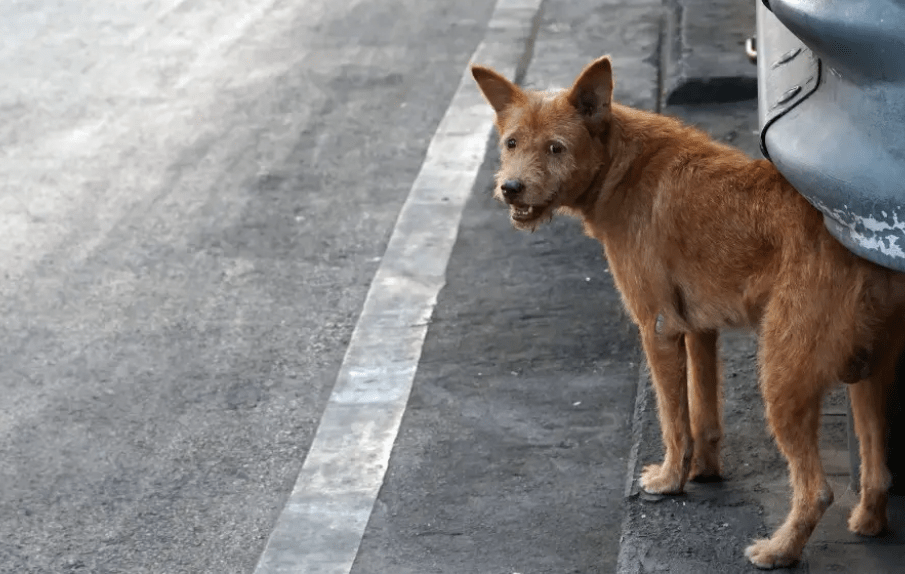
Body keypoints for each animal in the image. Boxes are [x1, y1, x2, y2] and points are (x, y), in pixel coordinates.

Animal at [471, 55, 905, 568]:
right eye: (511, 143)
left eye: (556, 148)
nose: (510, 188)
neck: (622, 164)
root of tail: (862, 252)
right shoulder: (700, 328)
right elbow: (703, 413)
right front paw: (704, 470)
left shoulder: (657, 328)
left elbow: (673, 417)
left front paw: (669, 479)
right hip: (870, 376)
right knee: (878, 472)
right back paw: (868, 522)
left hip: (782, 377)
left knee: (818, 490)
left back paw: (779, 549)